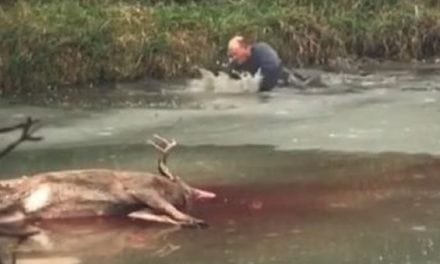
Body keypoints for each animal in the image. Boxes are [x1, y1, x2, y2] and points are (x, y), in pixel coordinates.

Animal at [0, 136, 215, 233]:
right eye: (184, 184)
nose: (191, 192)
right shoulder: (141, 188)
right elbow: (169, 209)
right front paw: (195, 220)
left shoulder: (139, 208)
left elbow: (154, 216)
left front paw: (188, 221)